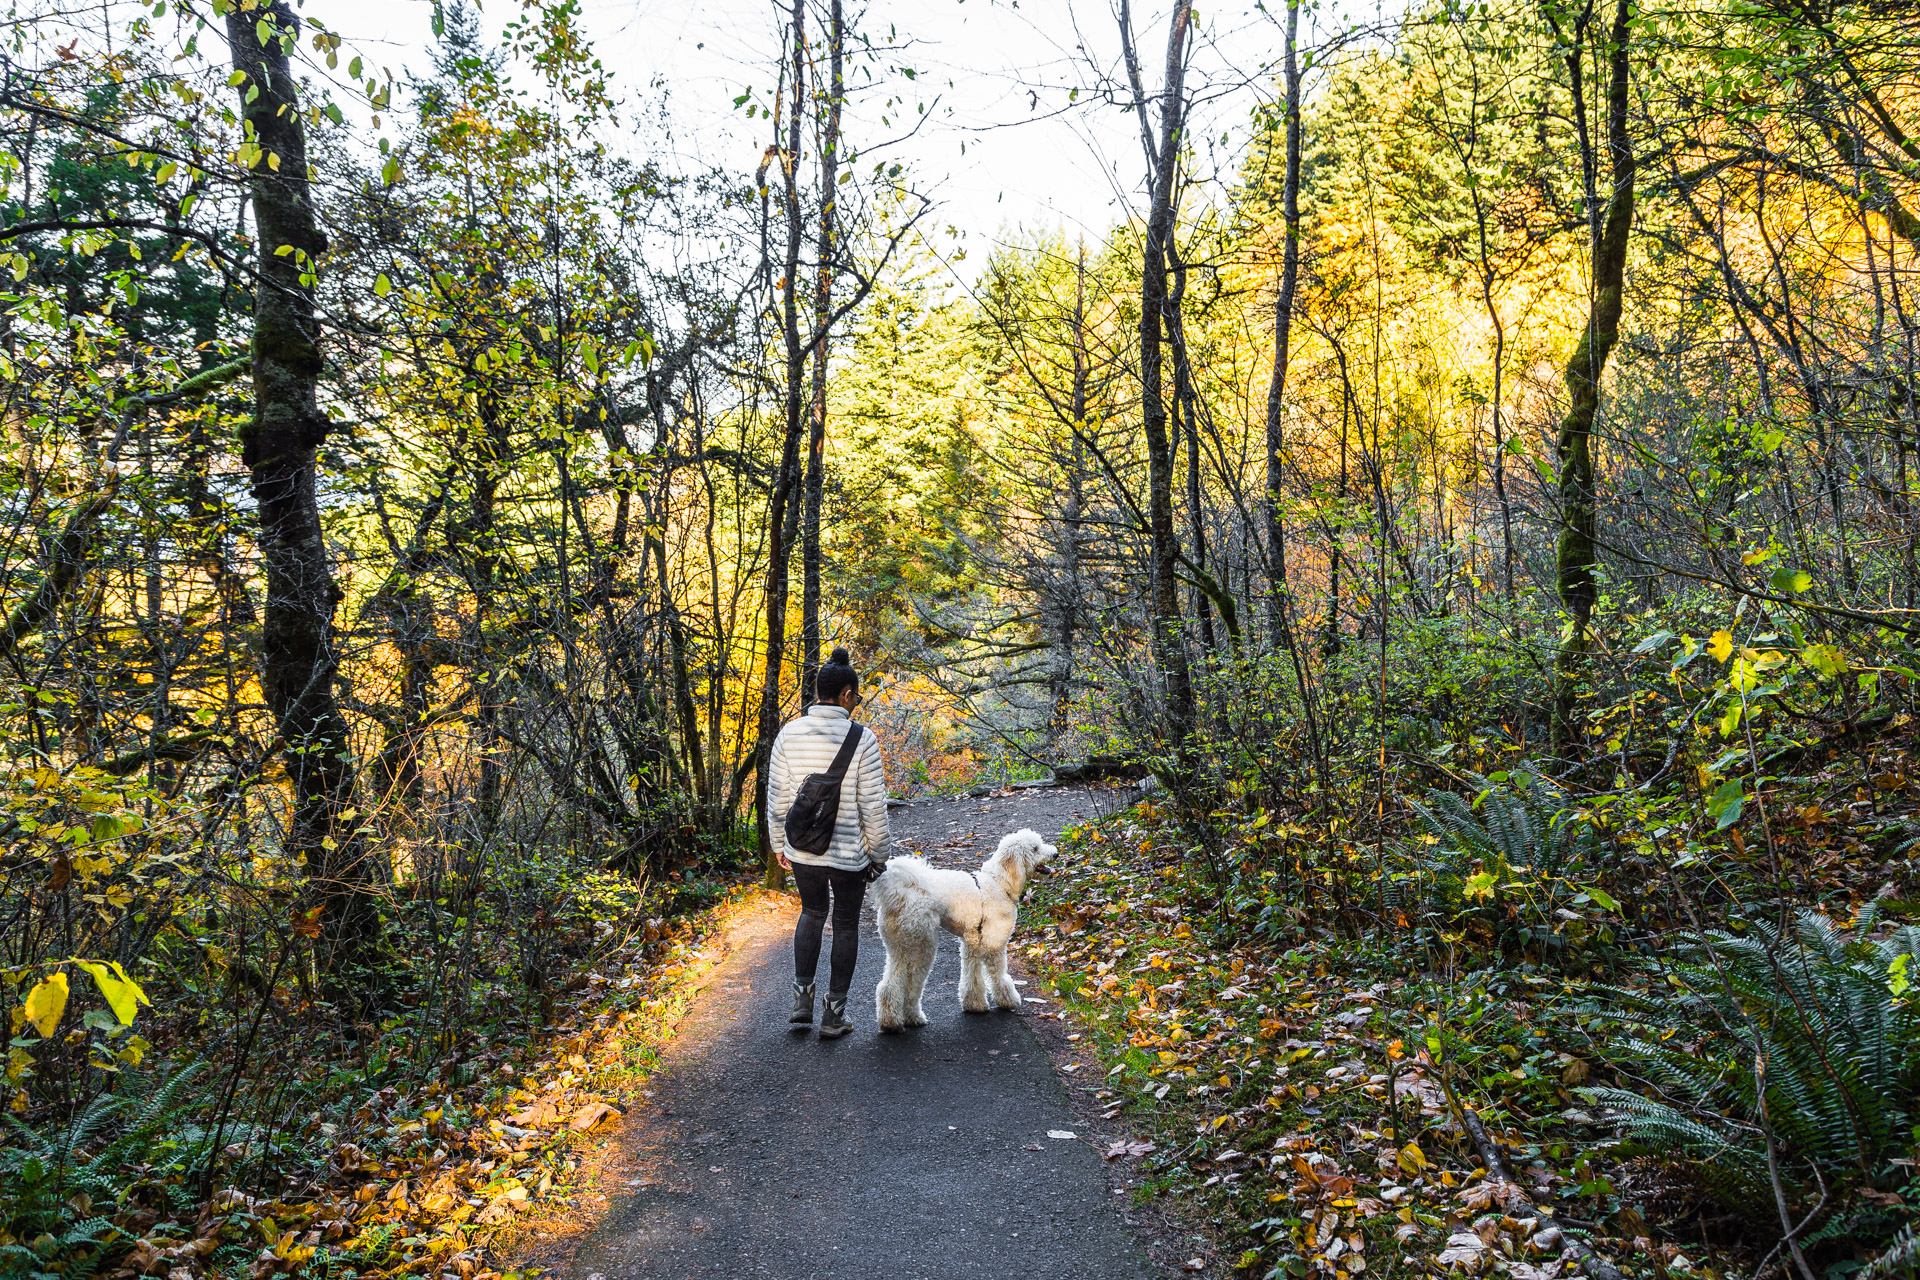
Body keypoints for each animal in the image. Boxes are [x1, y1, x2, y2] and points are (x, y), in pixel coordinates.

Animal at [875, 832, 1059, 1028]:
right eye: (1035, 848)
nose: (1055, 854)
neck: (999, 882)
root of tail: (898, 893)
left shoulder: (972, 942)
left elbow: (973, 975)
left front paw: (974, 1004)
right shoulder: (993, 944)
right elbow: (999, 975)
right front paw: (1008, 1000)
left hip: (898, 946)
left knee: (889, 984)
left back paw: (891, 1020)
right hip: (921, 945)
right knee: (910, 984)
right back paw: (911, 1018)